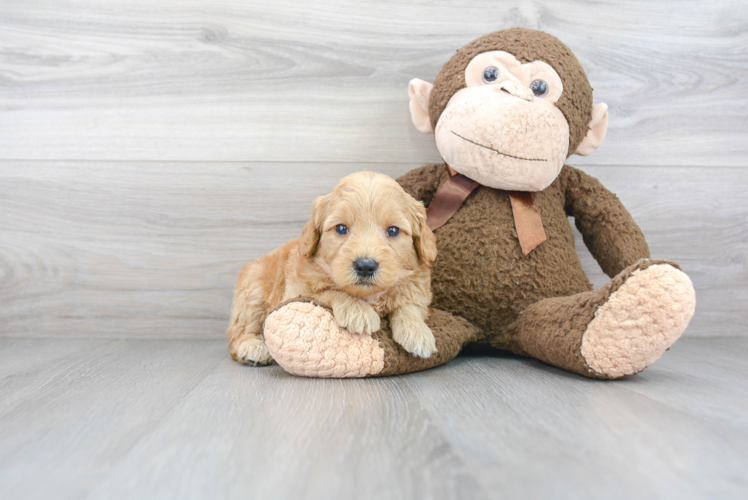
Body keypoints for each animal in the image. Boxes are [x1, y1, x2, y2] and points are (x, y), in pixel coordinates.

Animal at [226, 170, 438, 366]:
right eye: (341, 228)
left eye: (393, 230)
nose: (365, 266)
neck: (368, 296)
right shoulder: (296, 291)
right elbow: (328, 290)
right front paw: (357, 311)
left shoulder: (417, 289)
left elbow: (409, 304)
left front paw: (417, 332)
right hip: (253, 291)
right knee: (240, 330)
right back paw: (253, 347)